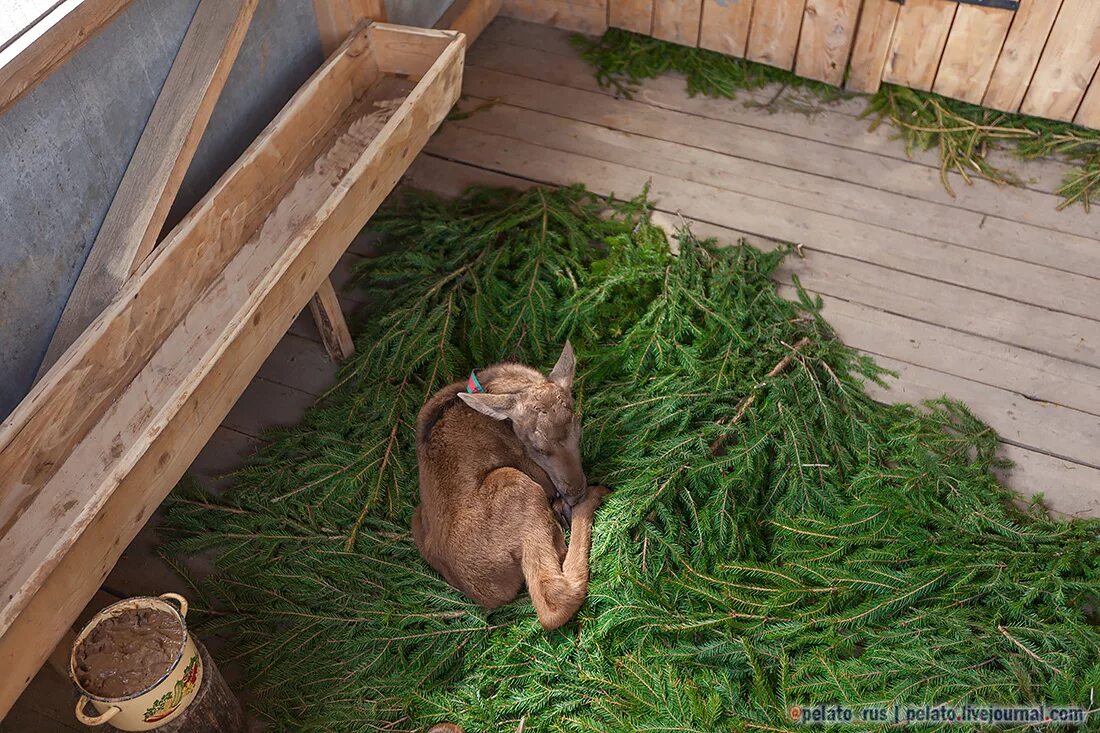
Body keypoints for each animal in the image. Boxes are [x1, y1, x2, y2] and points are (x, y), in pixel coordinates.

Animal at [411, 343, 607, 629]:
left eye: (578, 432)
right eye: (537, 448)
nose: (575, 492)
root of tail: (488, 593)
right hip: (515, 484)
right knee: (552, 598)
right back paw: (587, 502)